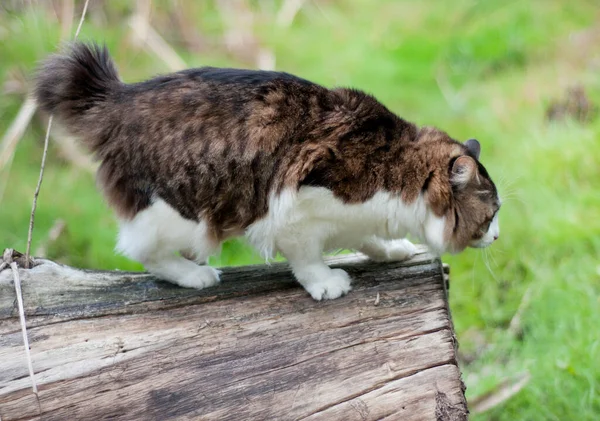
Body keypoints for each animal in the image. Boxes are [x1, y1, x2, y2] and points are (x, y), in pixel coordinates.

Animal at [34, 41, 502, 298]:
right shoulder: (295, 212)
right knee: (140, 251)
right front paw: (326, 284)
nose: (498, 236)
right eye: (493, 214)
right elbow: (307, 259)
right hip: (178, 213)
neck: (398, 172)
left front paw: (393, 249)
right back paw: (196, 275)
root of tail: (117, 96)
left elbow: (368, 238)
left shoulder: (354, 217)